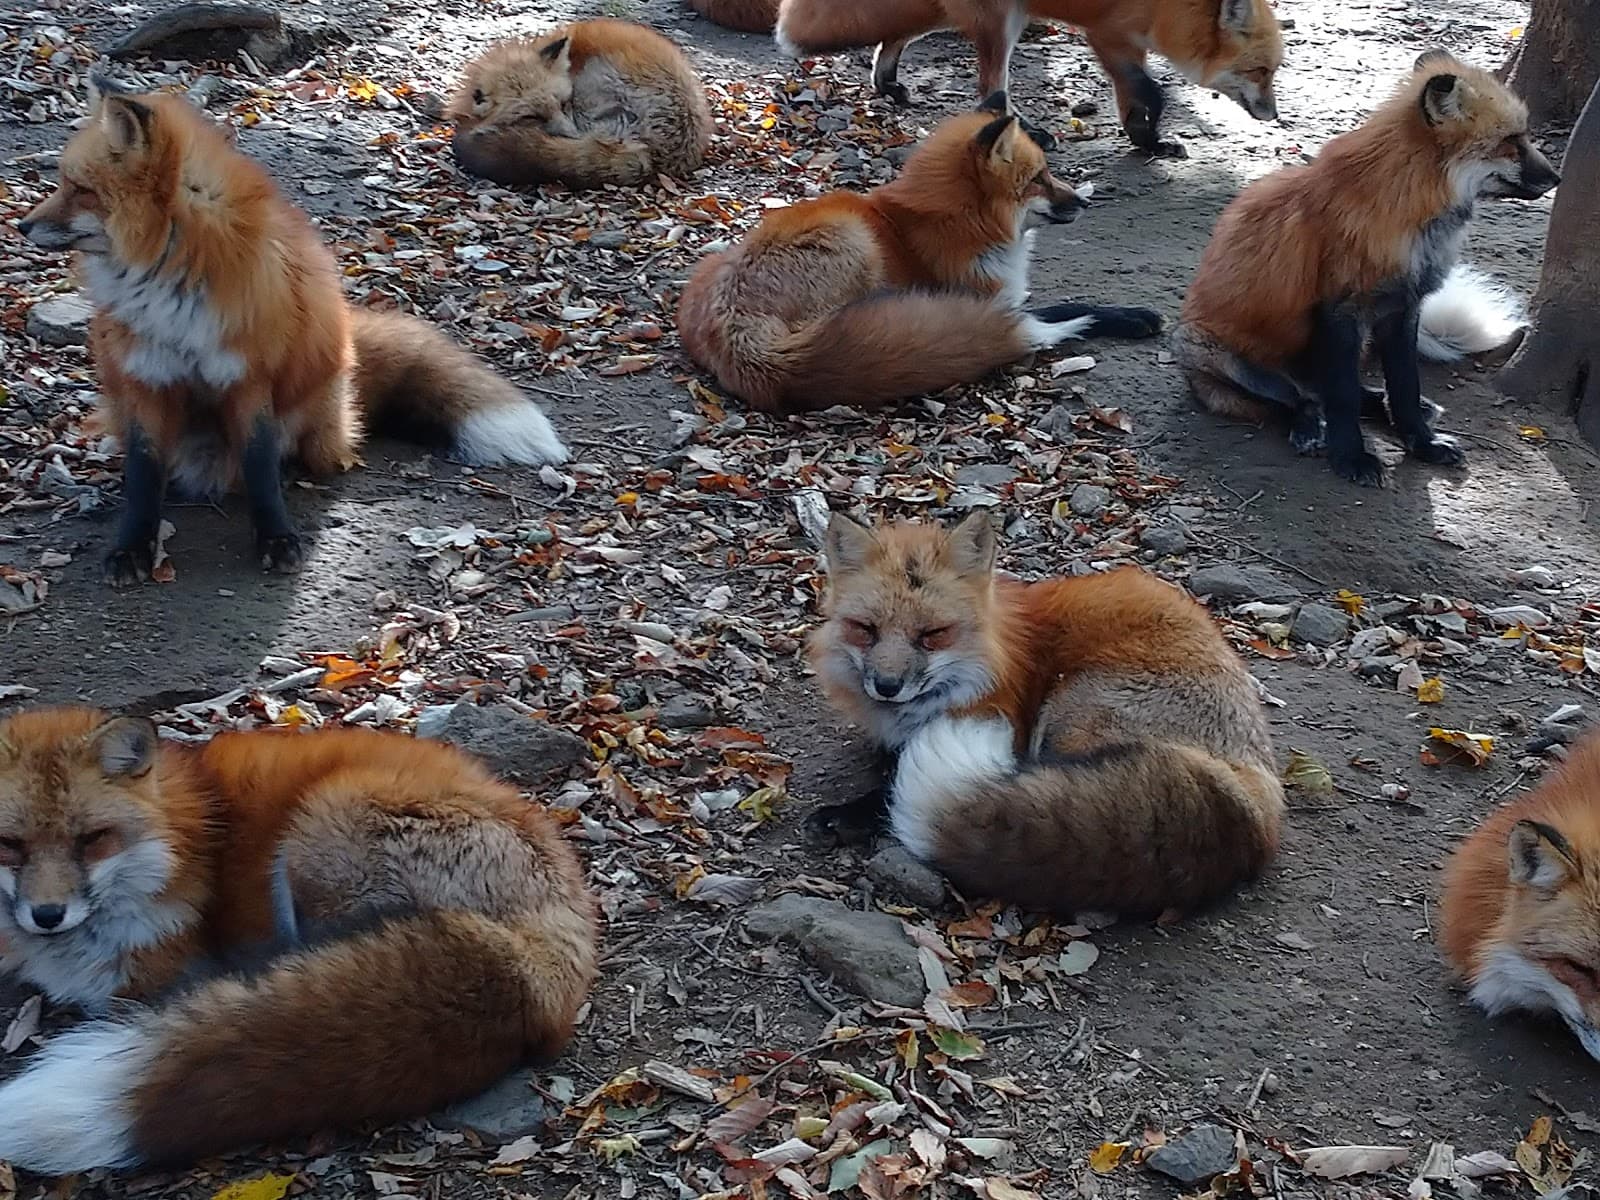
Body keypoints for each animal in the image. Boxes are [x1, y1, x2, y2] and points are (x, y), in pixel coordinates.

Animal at [19, 80, 568, 587]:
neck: (172, 282)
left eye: (78, 189)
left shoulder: (249, 377)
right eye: (64, 182)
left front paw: (276, 538)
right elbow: (142, 476)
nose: (21, 226)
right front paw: (132, 547)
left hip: (317, 417)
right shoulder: (144, 379)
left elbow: (261, 469)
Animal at [676, 95, 1162, 414]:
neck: (963, 223)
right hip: (857, 244)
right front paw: (1131, 317)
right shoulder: (985, 296)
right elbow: (1067, 306)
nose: (1084, 203)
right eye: (1039, 178)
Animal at [774, 0, 1281, 154]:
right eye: (1258, 71)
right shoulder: (1108, 35)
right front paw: (1149, 137)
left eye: (1273, 73)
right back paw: (1029, 132)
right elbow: (1151, 92)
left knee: (898, 34)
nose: (1273, 115)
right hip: (1004, 22)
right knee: (990, 94)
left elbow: (1133, 99)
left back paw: (887, 82)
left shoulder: (1127, 44)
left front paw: (1146, 141)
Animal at [806, 511, 1285, 916]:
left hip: (1068, 713)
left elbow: (889, 785)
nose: (887, 686)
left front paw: (846, 814)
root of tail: (1255, 807)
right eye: (866, 630)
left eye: (932, 634)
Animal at [1171, 51, 1560, 486]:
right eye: (1511, 142)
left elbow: (1404, 387)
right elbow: (1341, 398)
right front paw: (1351, 458)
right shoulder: (1340, 311)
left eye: (1524, 136)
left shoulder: (1403, 308)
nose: (1557, 177)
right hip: (1212, 350)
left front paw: (1421, 443)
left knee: (1343, 394)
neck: (1410, 216)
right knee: (1302, 400)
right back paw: (1309, 428)